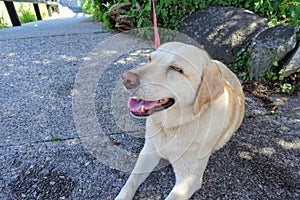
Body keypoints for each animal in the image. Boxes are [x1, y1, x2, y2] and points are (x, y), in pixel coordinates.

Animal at [116, 41, 245, 199]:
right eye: (150, 59)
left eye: (176, 69)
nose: (126, 78)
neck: (170, 127)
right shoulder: (148, 152)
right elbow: (130, 183)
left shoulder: (188, 180)